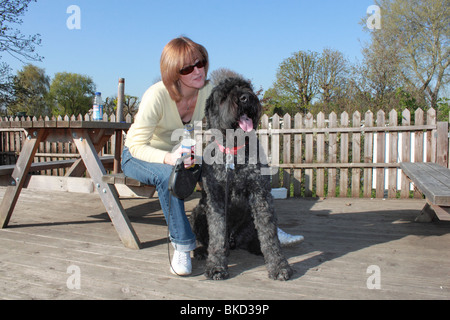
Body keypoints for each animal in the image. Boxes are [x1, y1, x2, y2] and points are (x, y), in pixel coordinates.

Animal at [191, 77, 294, 280]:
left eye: (246, 87)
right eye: (224, 94)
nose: (246, 98)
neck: (234, 152)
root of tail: (233, 241)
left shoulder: (260, 195)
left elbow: (269, 235)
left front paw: (278, 266)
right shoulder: (216, 200)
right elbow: (216, 234)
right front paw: (216, 266)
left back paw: (256, 247)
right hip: (197, 212)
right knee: (206, 239)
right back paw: (201, 250)